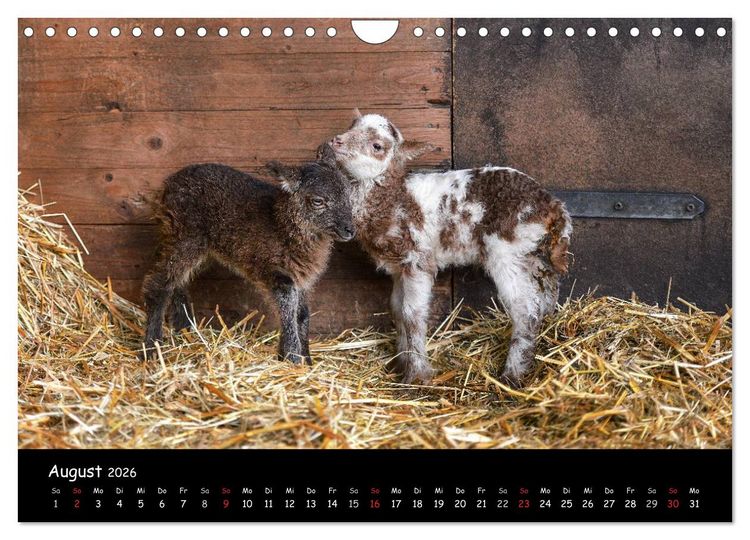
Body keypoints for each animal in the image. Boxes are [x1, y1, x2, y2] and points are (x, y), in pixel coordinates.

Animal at [142, 144, 355, 364]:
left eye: (349, 195)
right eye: (318, 201)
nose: (349, 229)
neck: (282, 225)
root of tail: (168, 184)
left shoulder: (302, 278)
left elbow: (302, 314)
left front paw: (306, 359)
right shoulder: (276, 272)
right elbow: (288, 313)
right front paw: (293, 358)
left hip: (197, 246)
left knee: (178, 280)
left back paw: (184, 328)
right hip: (186, 236)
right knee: (158, 285)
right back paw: (152, 348)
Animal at [329, 110, 572, 386]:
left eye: (377, 146)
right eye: (352, 126)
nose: (337, 140)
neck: (393, 198)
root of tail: (553, 205)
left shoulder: (418, 260)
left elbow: (412, 314)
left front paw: (417, 375)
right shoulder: (399, 268)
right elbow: (397, 309)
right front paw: (401, 363)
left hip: (506, 252)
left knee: (526, 308)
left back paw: (512, 374)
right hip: (533, 253)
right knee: (547, 291)